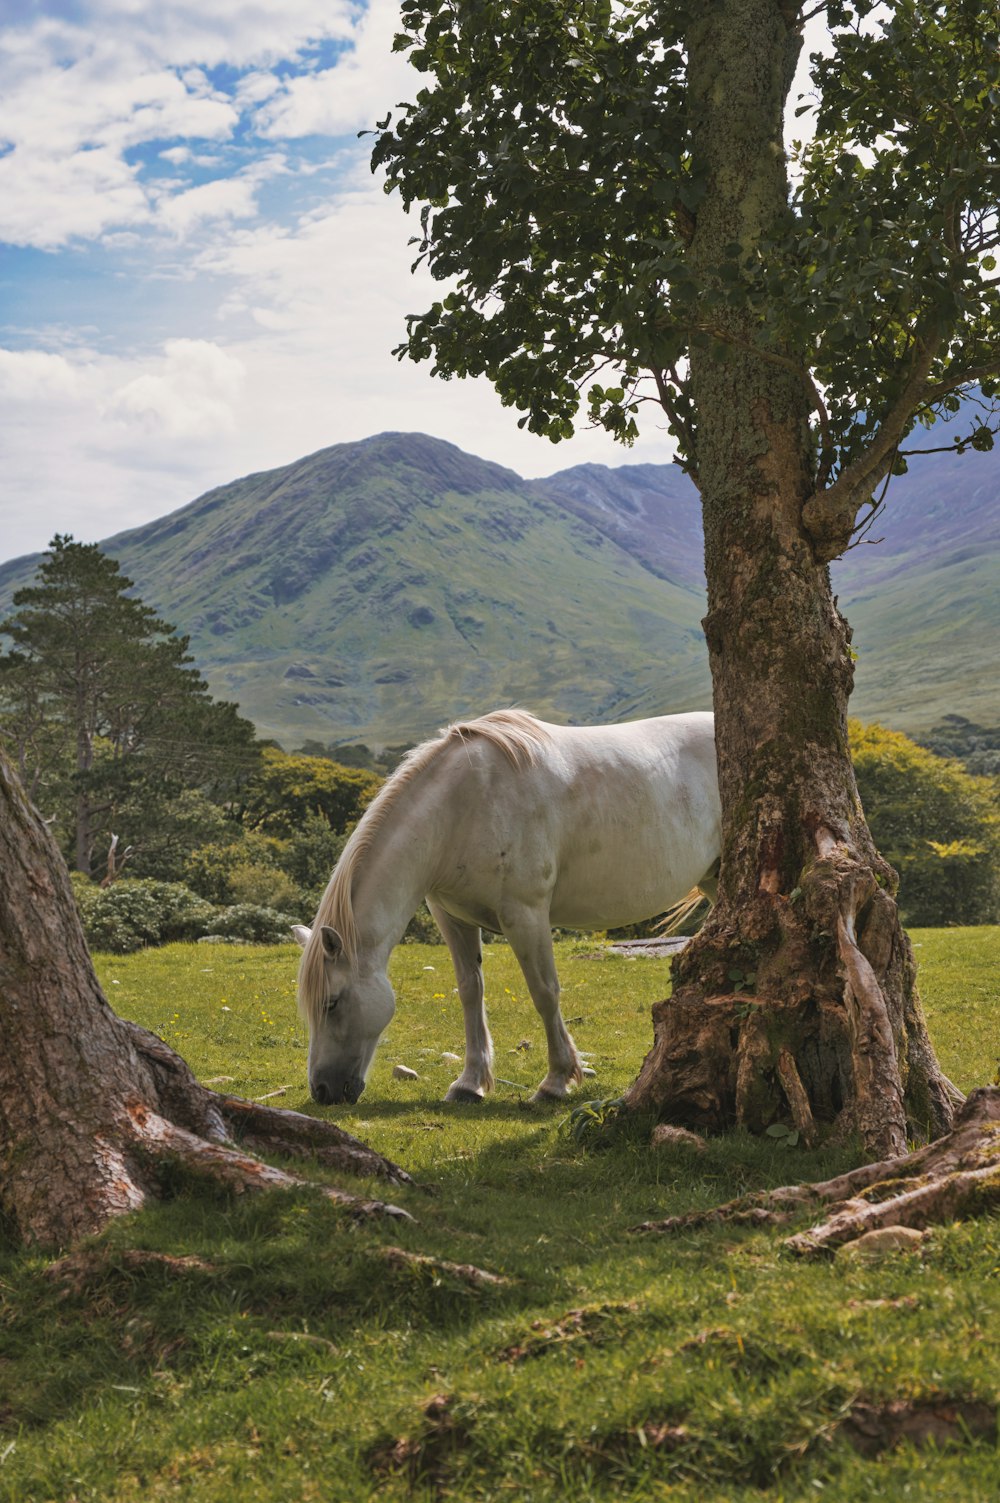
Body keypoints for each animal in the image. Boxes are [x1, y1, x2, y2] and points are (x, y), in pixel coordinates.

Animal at [290, 703, 718, 1106]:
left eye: (332, 1003)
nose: (322, 1090)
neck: (464, 806)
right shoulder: (452, 917)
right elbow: (470, 991)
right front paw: (469, 1083)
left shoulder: (524, 916)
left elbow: (544, 992)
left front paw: (556, 1082)